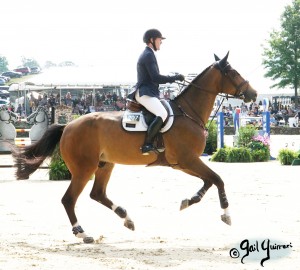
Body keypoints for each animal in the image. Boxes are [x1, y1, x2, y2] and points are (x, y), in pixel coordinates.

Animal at [11, 52, 258, 243]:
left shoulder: (182, 163)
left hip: (104, 164)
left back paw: (126, 218)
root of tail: (68, 125)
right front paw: (226, 214)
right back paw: (83, 233)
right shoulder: (188, 160)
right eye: (233, 72)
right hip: (83, 169)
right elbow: (217, 179)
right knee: (69, 199)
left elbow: (208, 181)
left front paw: (188, 201)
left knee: (97, 194)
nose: (253, 94)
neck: (188, 113)